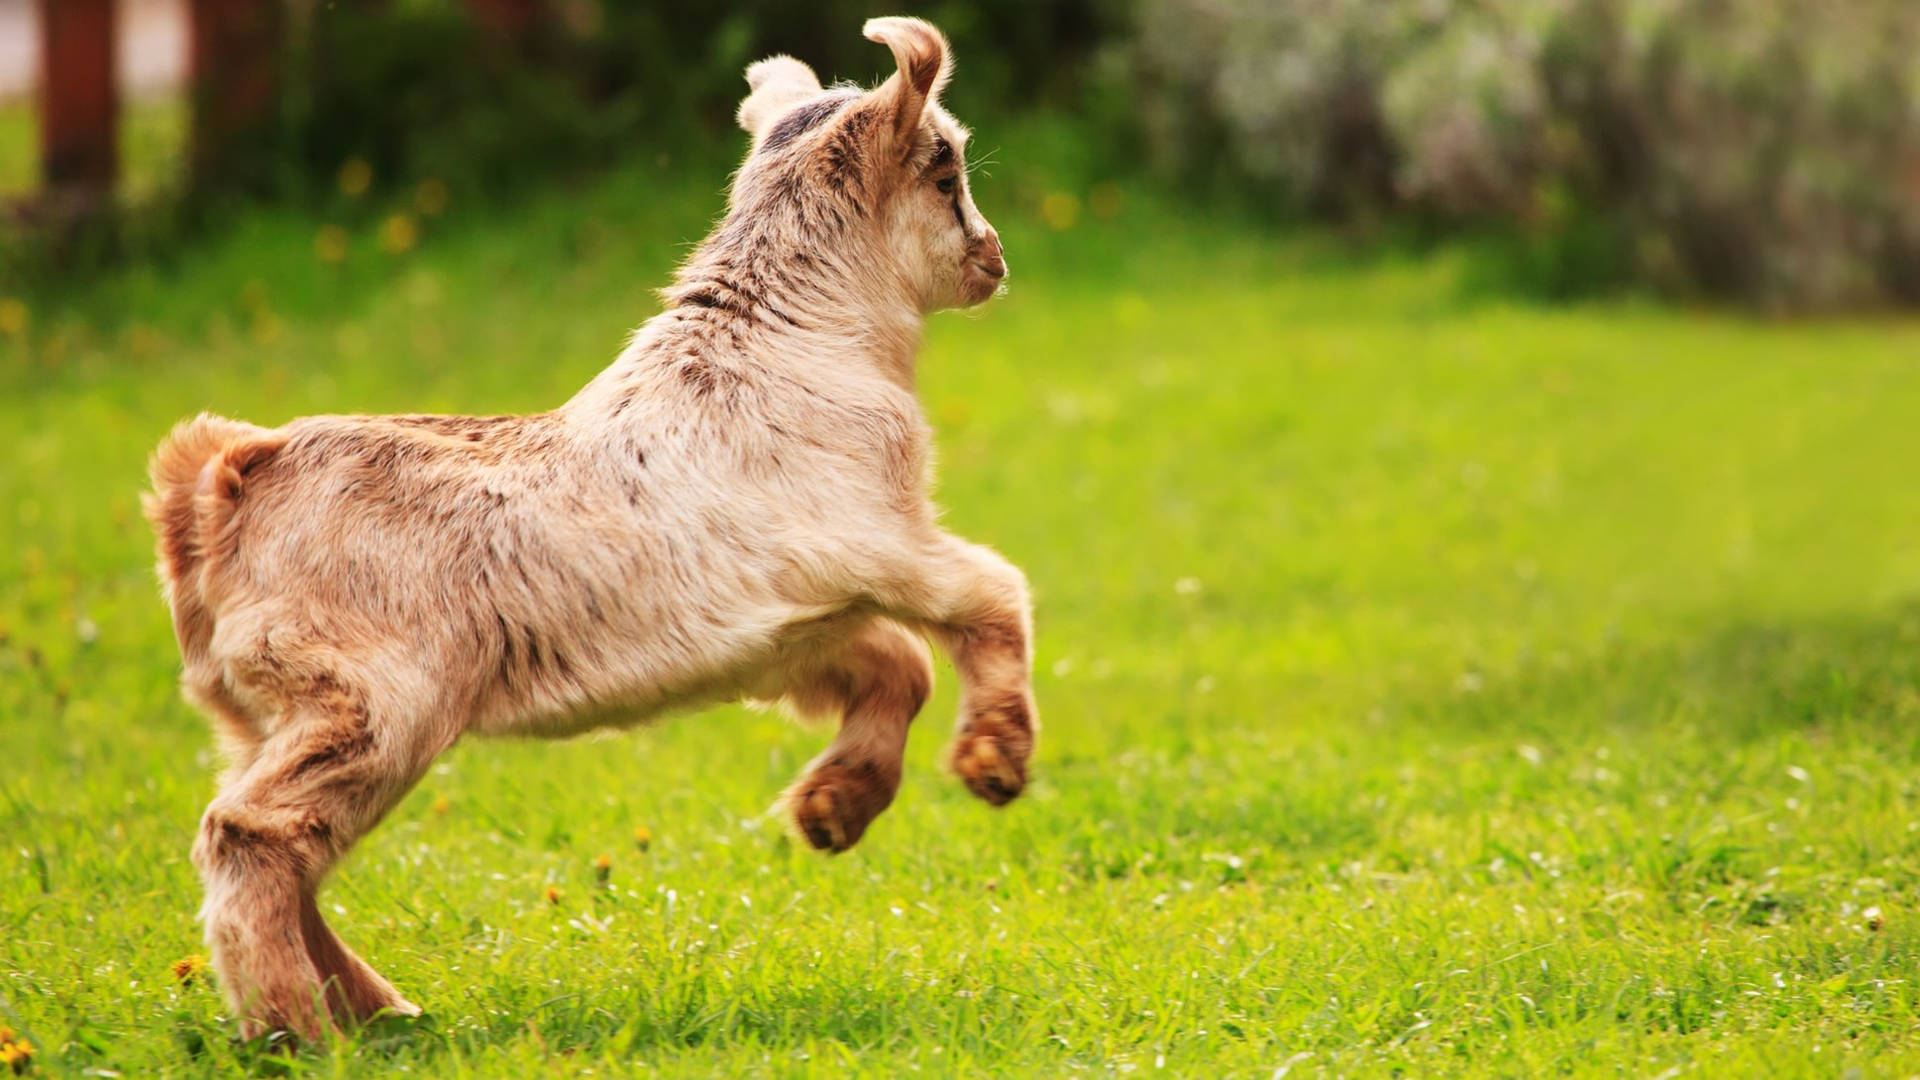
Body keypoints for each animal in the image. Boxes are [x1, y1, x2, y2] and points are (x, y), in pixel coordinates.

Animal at [139, 18, 1036, 1037]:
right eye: (946, 170)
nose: (994, 257)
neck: (794, 337)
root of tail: (218, 486)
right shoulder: (875, 541)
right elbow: (991, 596)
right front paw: (994, 764)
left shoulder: (788, 628)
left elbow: (901, 664)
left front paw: (832, 811)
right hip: (376, 706)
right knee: (252, 835)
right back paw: (303, 1029)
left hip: (269, 715)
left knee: (290, 856)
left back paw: (380, 1013)